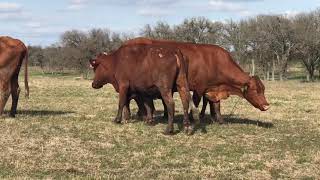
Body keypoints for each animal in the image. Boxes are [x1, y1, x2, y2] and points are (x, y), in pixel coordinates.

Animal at [124, 37, 268, 123]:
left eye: (263, 89)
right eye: (255, 90)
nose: (267, 105)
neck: (216, 62)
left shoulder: (213, 88)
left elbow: (216, 105)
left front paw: (220, 120)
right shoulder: (199, 88)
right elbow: (197, 102)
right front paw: (194, 118)